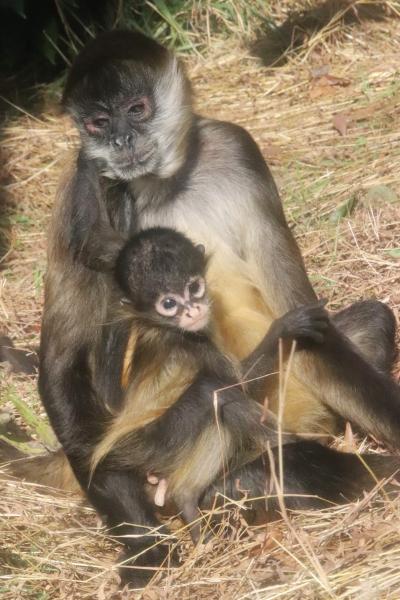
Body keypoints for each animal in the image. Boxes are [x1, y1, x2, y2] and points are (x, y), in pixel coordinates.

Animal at [92, 226, 330, 544]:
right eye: (168, 304)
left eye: (193, 288)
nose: (192, 311)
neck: (163, 327)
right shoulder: (192, 343)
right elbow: (238, 384)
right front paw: (285, 327)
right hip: (154, 441)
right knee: (214, 392)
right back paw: (186, 497)